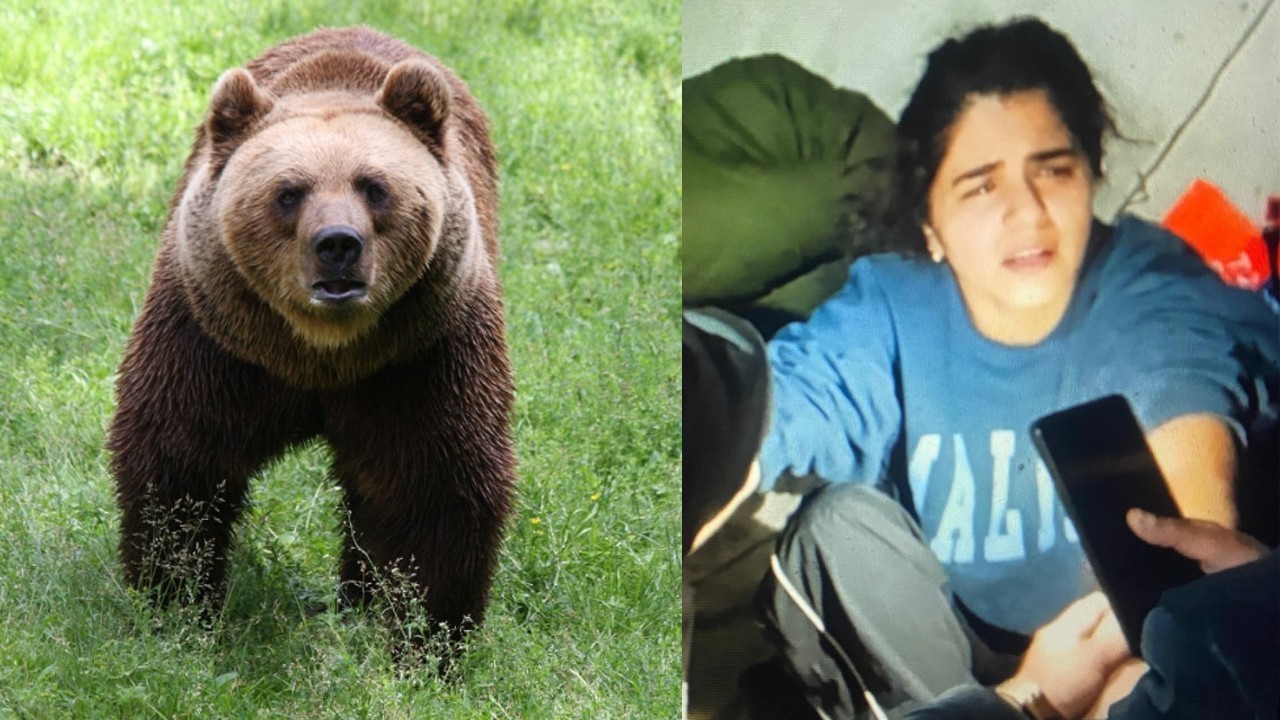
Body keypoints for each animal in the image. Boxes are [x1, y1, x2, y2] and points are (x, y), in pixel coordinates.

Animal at [106, 26, 516, 662]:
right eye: (289, 192)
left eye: (374, 187)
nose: (338, 245)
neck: (320, 354)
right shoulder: (215, 344)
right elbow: (179, 463)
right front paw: (175, 604)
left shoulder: (422, 356)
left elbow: (434, 486)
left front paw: (426, 640)